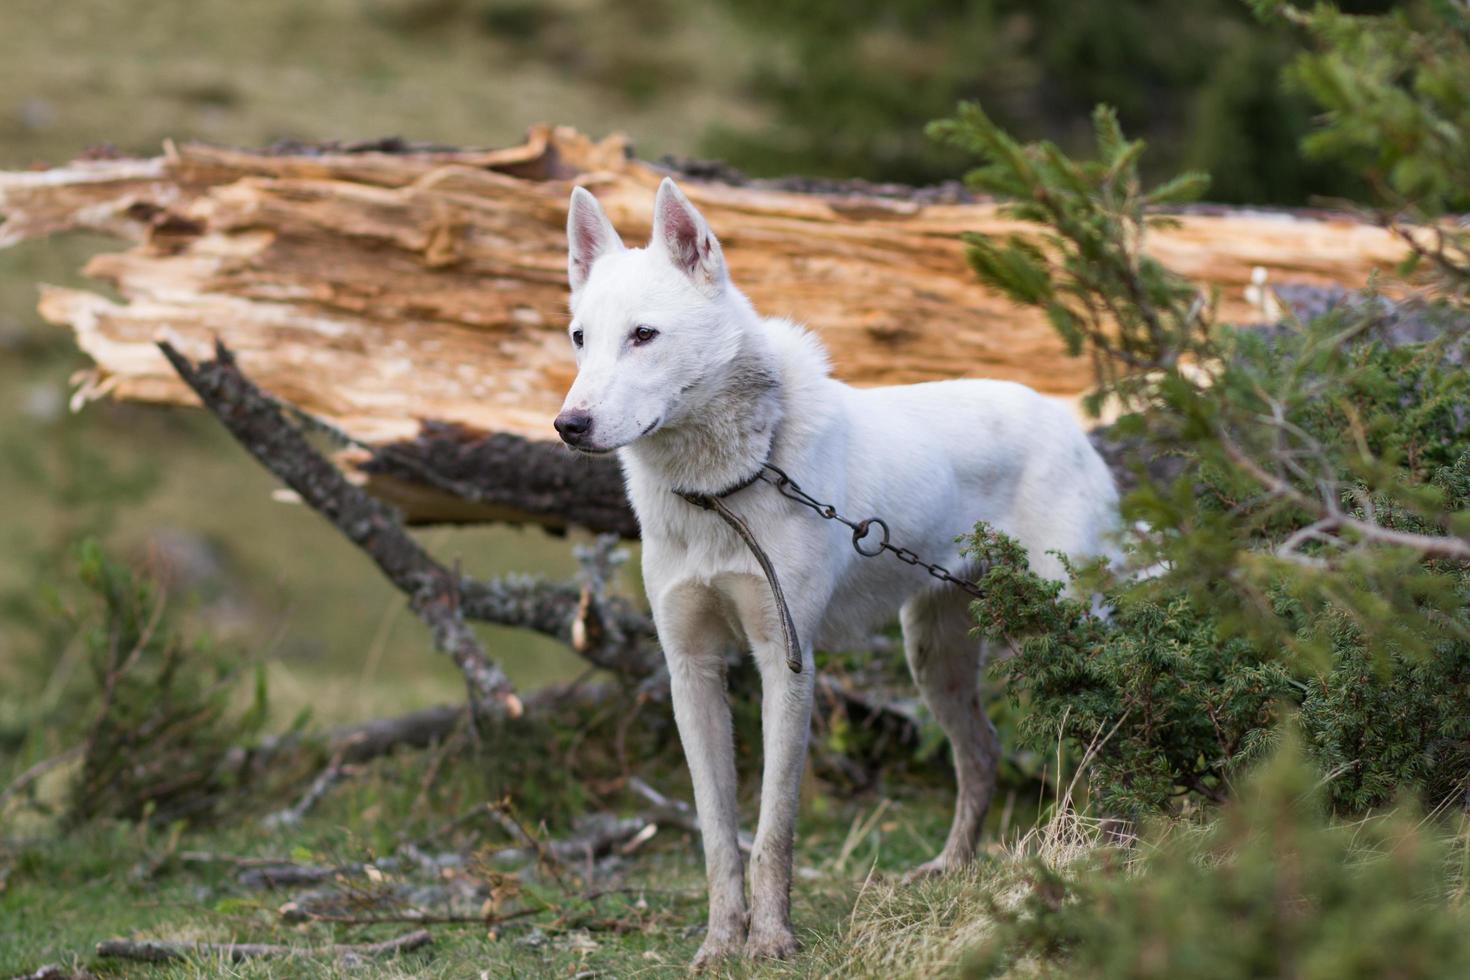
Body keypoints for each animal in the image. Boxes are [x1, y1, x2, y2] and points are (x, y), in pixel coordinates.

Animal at [552, 176, 1111, 963]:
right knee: (982, 754)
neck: (724, 491)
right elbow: (718, 836)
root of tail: (1073, 425)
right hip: (934, 658)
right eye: (580, 339)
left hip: (1063, 632)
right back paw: (951, 869)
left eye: (643, 336)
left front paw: (771, 941)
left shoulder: (786, 661)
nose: (567, 426)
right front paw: (720, 945)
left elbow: (772, 832)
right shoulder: (691, 669)